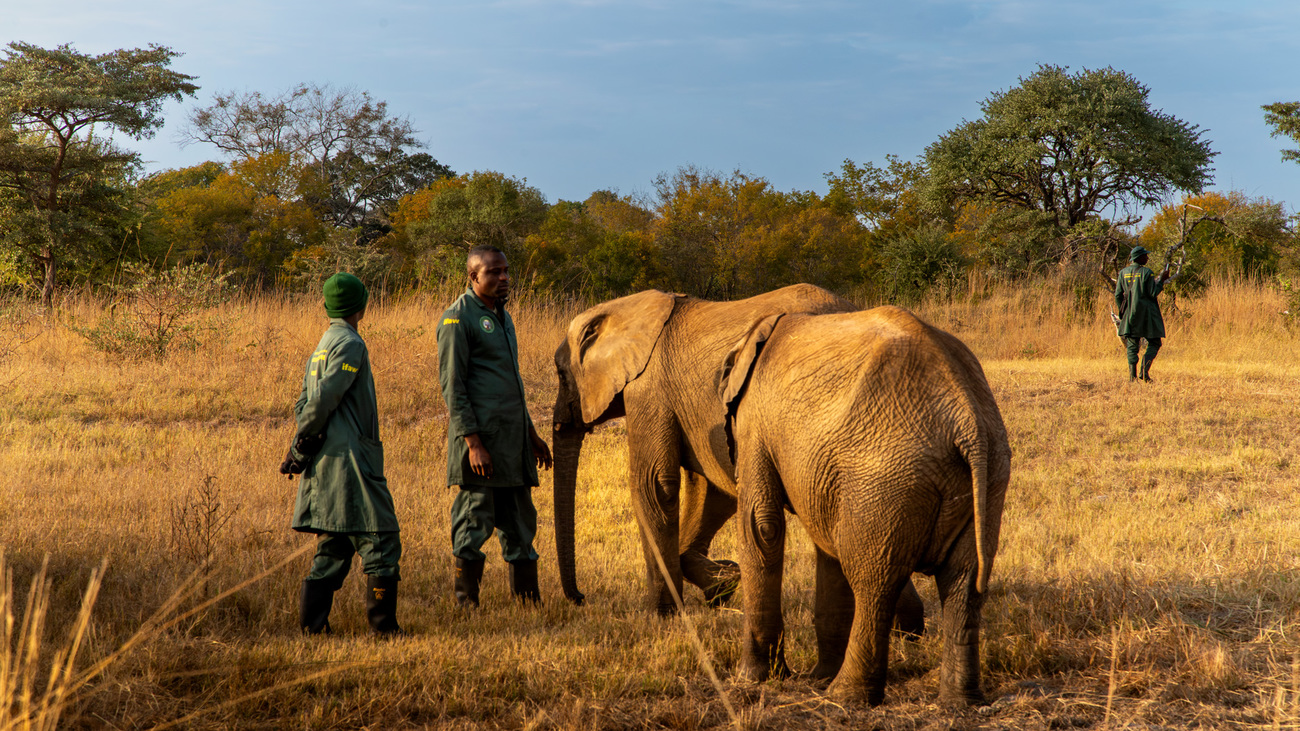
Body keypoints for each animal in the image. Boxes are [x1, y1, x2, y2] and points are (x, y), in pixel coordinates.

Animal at [550, 285, 927, 637]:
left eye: (561, 374)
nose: (580, 598)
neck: (625, 309)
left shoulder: (648, 388)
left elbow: (655, 485)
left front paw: (662, 615)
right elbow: (711, 490)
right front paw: (724, 583)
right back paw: (908, 630)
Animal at [717, 306, 1011, 706]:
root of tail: (966, 416)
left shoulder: (755, 422)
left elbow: (761, 525)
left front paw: (751, 680)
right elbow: (826, 545)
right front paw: (816, 676)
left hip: (885, 480)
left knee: (875, 582)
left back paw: (845, 696)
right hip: (988, 474)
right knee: (964, 583)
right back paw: (959, 701)